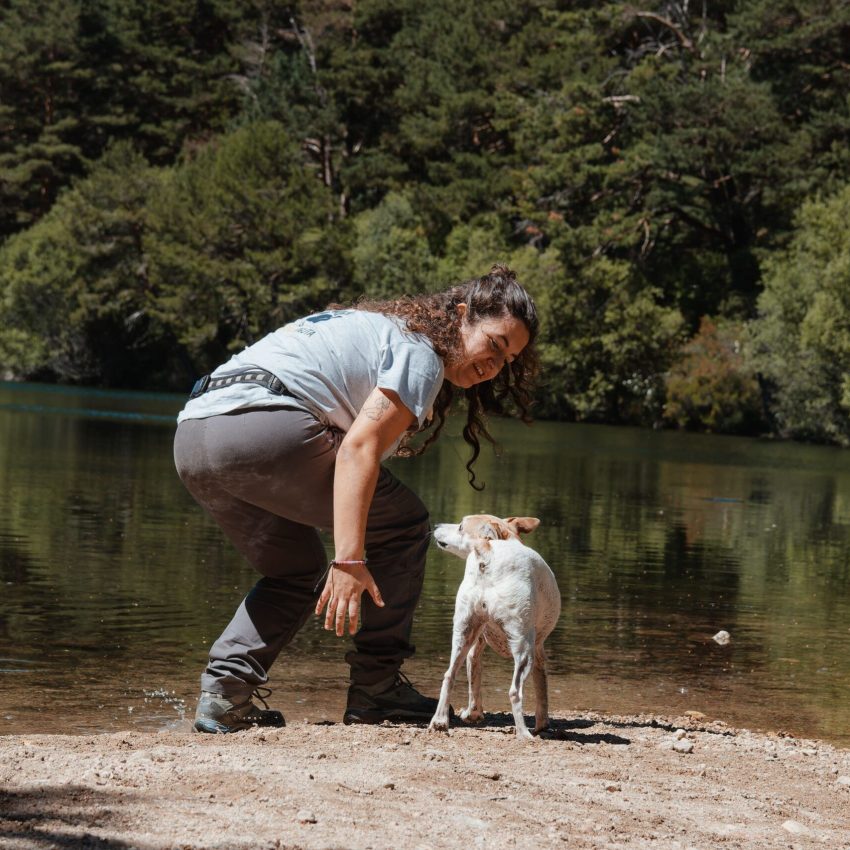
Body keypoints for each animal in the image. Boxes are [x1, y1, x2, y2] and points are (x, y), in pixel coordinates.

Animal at [428, 512, 560, 740]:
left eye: (460, 527)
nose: (435, 525)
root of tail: (488, 554)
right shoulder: (538, 650)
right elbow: (541, 688)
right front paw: (543, 724)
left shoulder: (476, 643)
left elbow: (474, 678)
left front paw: (472, 714)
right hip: (523, 645)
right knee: (515, 691)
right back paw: (524, 734)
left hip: (463, 633)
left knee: (449, 675)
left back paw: (439, 721)